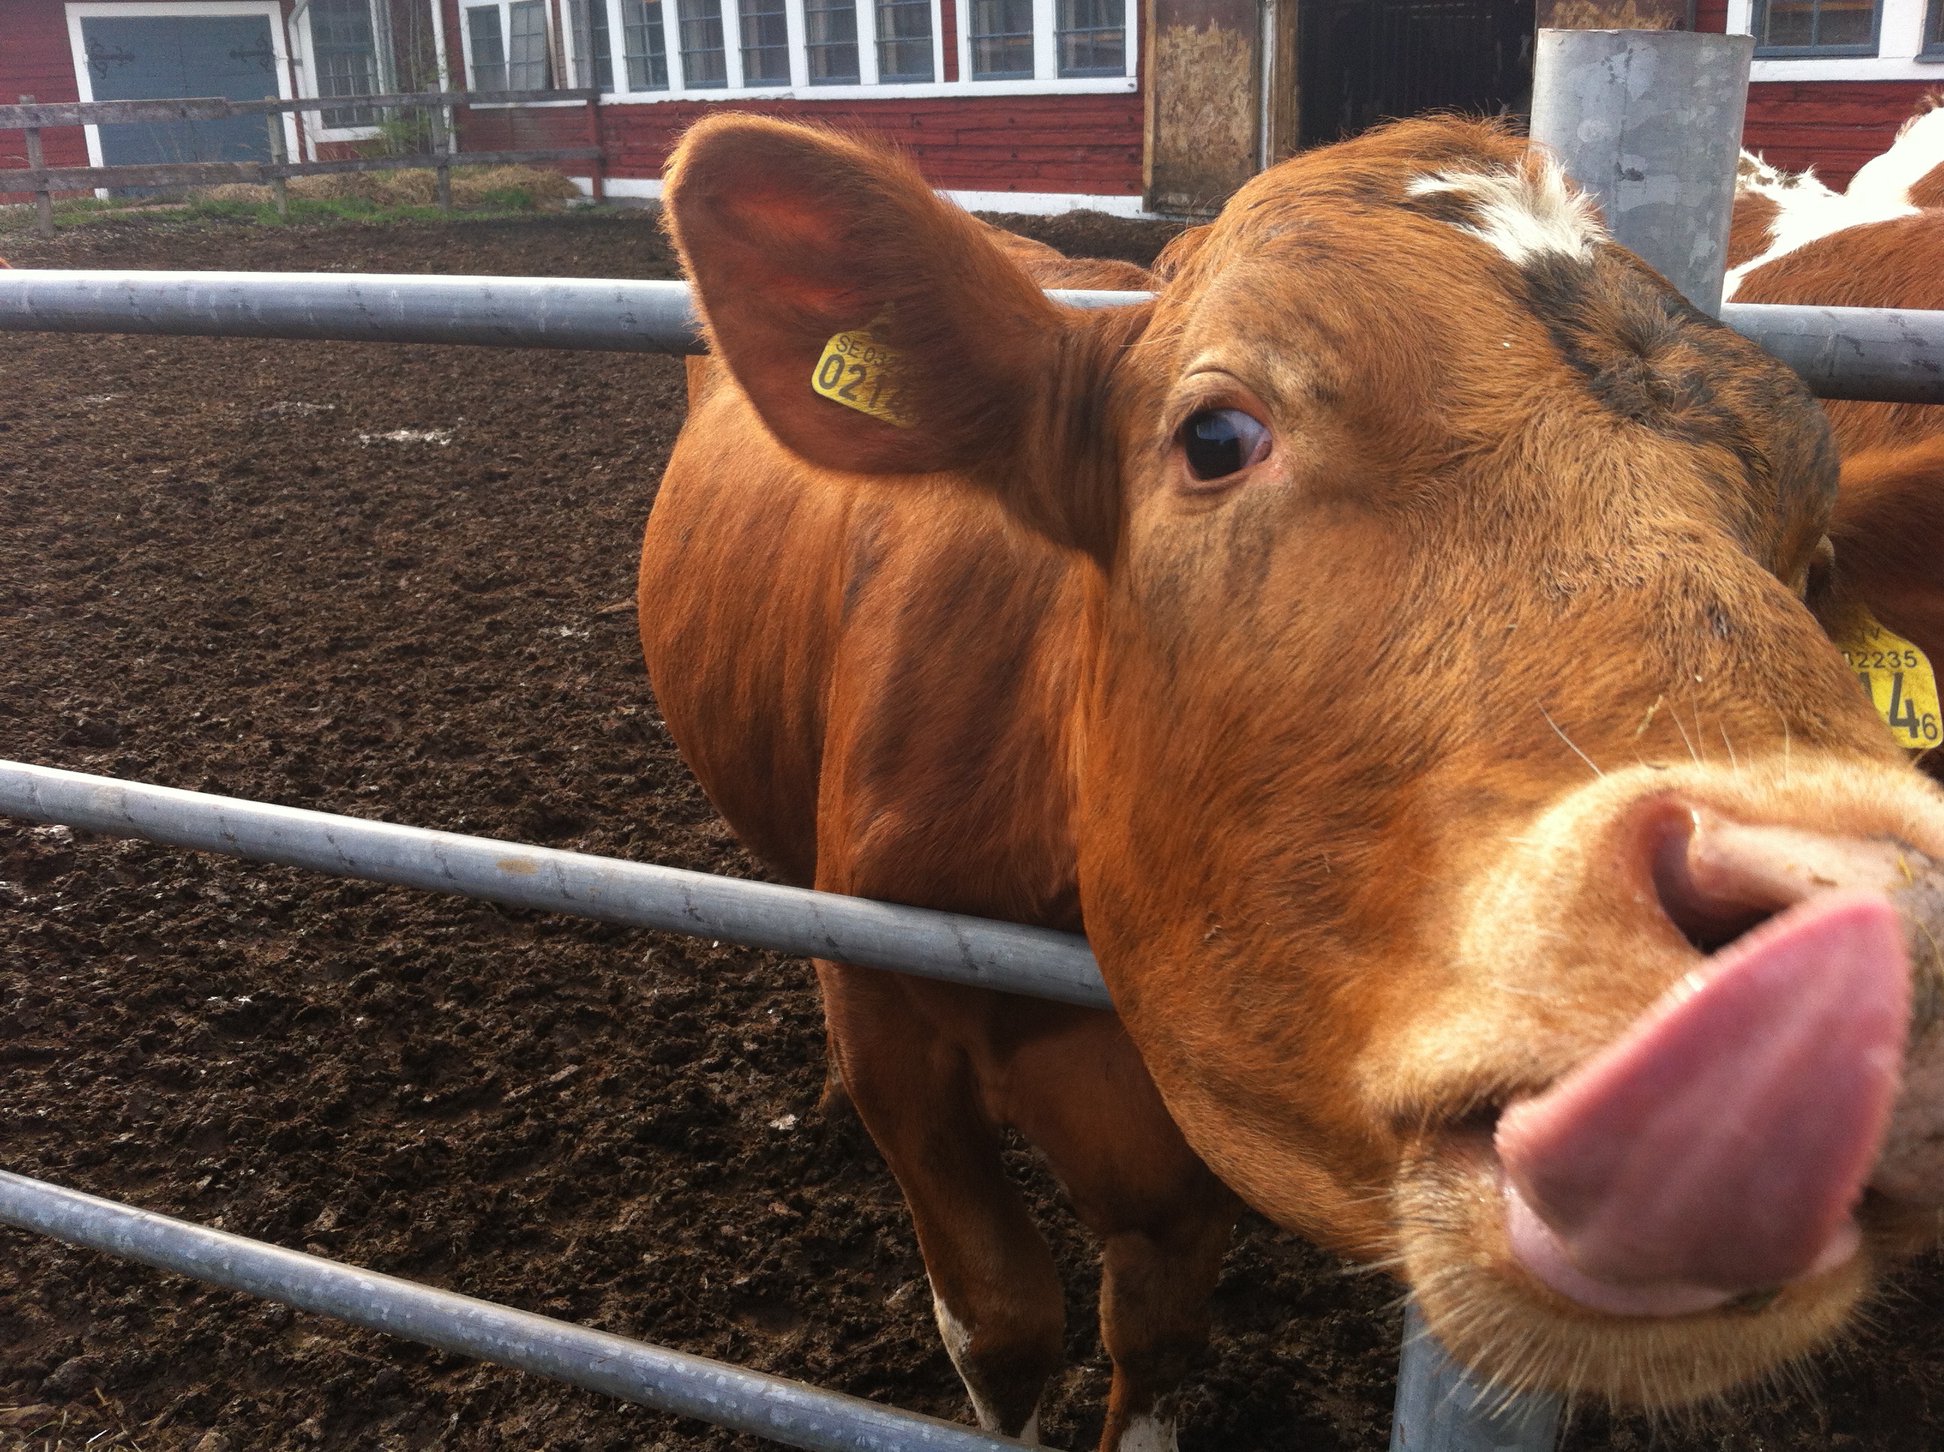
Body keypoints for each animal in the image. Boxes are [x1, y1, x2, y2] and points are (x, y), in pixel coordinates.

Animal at [645, 116, 1944, 1452]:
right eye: (1218, 437)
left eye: (1817, 558)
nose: (1858, 930)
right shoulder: (896, 1034)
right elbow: (1000, 1328)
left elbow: (1154, 1341)